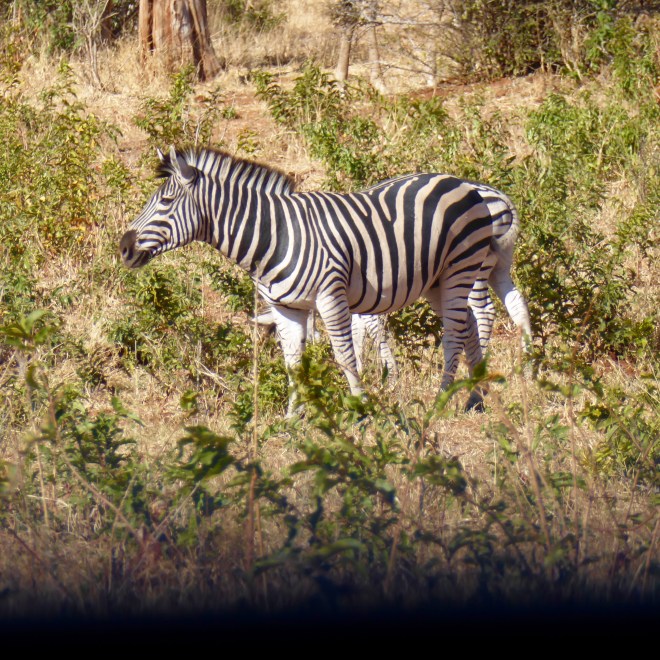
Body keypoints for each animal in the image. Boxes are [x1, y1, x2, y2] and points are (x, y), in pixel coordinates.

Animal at [119, 146, 517, 413]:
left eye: (166, 201)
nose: (123, 247)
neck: (274, 236)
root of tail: (459, 182)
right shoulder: (287, 308)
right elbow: (293, 364)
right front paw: (293, 421)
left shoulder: (331, 296)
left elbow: (345, 356)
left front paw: (362, 411)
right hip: (436, 280)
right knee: (467, 324)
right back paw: (475, 397)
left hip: (460, 267)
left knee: (455, 332)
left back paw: (441, 401)